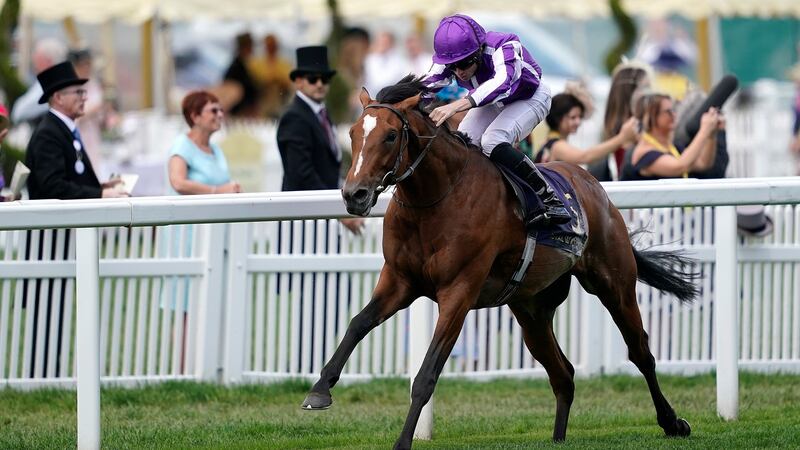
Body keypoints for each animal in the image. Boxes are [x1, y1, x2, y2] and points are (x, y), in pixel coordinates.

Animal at [304, 75, 696, 448]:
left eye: (389, 136)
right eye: (353, 134)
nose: (354, 195)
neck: (434, 199)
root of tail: (592, 183)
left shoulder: (459, 292)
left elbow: (427, 374)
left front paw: (402, 442)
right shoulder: (399, 281)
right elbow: (357, 323)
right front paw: (319, 391)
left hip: (614, 283)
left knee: (640, 352)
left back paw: (672, 422)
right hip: (532, 310)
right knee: (564, 374)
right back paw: (558, 438)